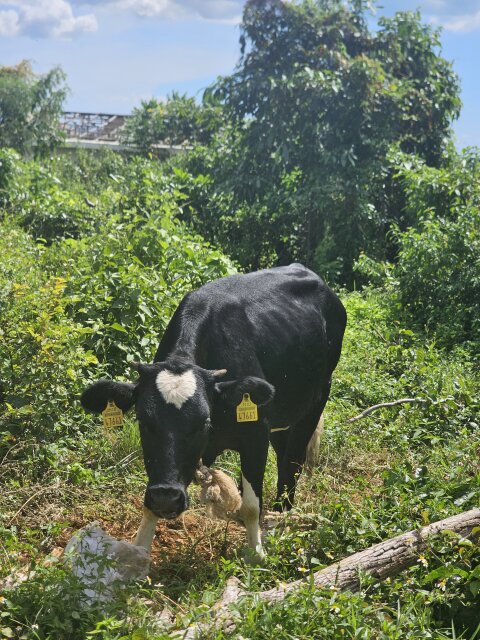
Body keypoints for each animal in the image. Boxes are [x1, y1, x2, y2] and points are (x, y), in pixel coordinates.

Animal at [80, 264, 346, 558]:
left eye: (203, 423)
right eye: (143, 421)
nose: (166, 496)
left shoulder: (256, 433)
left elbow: (251, 504)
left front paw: (256, 554)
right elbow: (149, 509)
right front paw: (138, 552)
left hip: (317, 398)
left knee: (293, 462)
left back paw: (280, 519)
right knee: (282, 455)